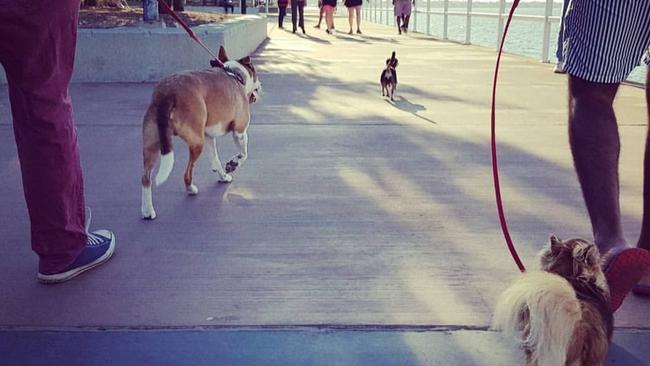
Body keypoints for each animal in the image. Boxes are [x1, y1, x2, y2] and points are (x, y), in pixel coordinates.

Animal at [140, 45, 260, 217]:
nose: (260, 85)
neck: (235, 74)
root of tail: (167, 93)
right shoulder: (240, 131)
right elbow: (244, 153)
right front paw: (233, 164)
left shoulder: (209, 136)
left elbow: (216, 160)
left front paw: (223, 176)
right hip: (197, 143)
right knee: (187, 173)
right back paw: (191, 189)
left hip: (152, 143)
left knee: (145, 178)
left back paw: (147, 210)